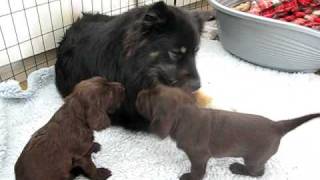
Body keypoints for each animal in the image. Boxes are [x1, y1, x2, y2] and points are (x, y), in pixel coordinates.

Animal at [136, 84, 320, 180]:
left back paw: (239, 168)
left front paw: (190, 177)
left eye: (148, 99)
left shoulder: (198, 155)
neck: (186, 116)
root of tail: (277, 125)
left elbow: (197, 169)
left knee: (258, 172)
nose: (138, 93)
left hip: (254, 159)